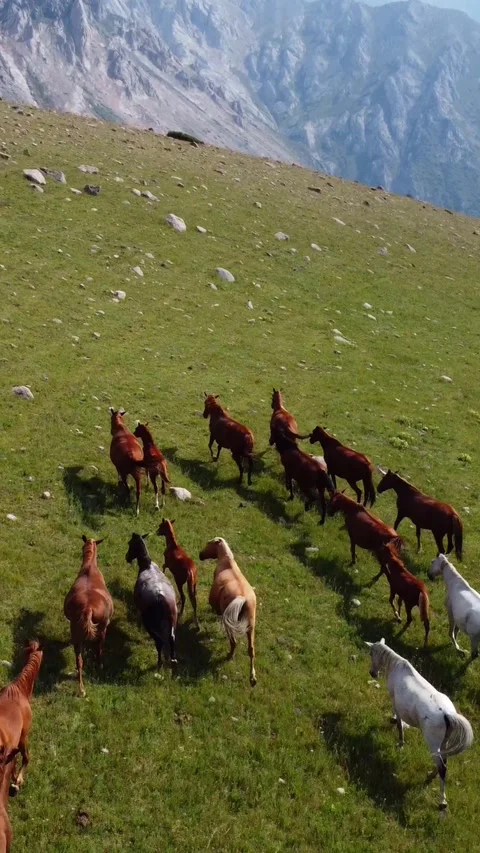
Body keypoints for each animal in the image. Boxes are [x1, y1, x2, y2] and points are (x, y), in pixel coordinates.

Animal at [64, 536, 114, 696]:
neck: (89, 568)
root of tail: (88, 608)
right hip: (102, 628)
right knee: (99, 650)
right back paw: (99, 667)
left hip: (75, 631)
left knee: (79, 660)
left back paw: (81, 688)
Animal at [125, 533, 178, 671]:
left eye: (130, 543)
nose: (127, 557)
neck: (147, 565)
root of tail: (161, 597)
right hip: (173, 618)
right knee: (172, 638)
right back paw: (173, 660)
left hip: (149, 622)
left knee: (159, 642)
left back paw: (159, 662)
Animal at [199, 537, 257, 686]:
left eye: (208, 543)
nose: (200, 555)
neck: (227, 563)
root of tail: (242, 598)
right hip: (250, 627)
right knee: (251, 650)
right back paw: (252, 679)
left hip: (231, 626)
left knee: (234, 642)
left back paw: (229, 656)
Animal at [367, 639, 473, 809]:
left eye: (371, 653)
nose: (372, 673)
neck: (397, 666)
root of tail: (447, 714)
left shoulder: (394, 701)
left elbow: (399, 723)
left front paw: (400, 741)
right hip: (443, 744)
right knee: (443, 761)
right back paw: (429, 776)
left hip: (433, 744)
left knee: (443, 768)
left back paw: (442, 801)